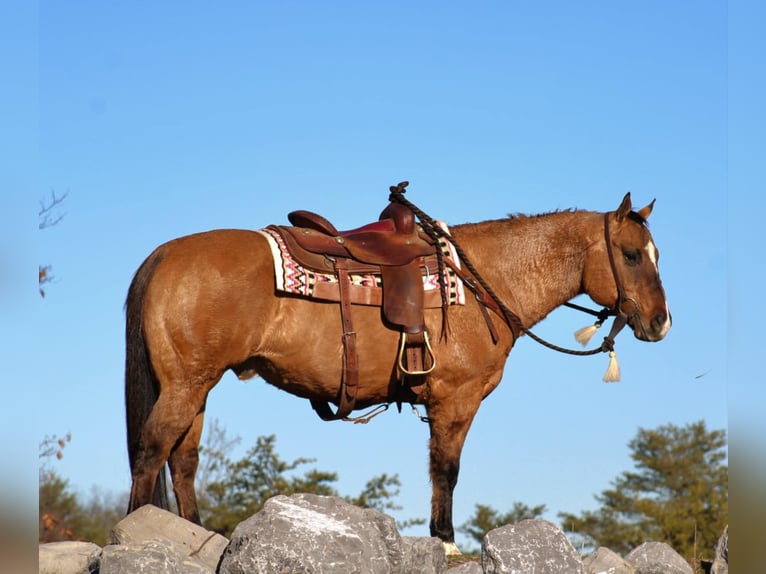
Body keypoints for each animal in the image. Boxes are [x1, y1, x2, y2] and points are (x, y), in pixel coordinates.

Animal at [126, 190, 672, 552]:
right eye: (630, 255)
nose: (661, 322)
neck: (482, 281)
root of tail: (163, 255)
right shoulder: (456, 401)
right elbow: (446, 472)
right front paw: (447, 545)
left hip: (198, 387)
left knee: (183, 460)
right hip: (185, 385)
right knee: (152, 450)